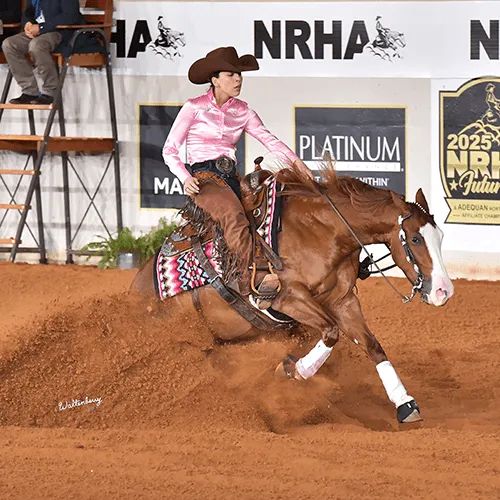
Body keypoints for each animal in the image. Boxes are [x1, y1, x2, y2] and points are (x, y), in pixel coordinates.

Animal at [132, 165, 454, 424]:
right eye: (415, 238)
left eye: (440, 236)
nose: (444, 291)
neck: (322, 232)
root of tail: (137, 289)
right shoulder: (287, 298)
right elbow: (330, 332)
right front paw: (292, 370)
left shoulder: (343, 301)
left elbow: (372, 345)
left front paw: (405, 404)